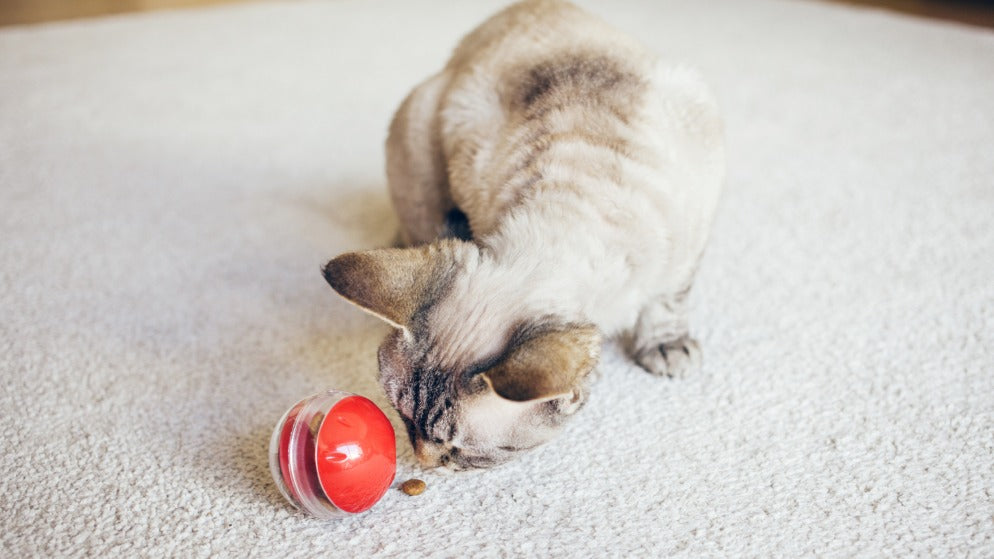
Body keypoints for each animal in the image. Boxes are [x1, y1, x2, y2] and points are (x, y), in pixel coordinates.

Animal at [324, 0, 720, 470]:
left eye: (461, 452)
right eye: (403, 417)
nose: (424, 462)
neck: (573, 209)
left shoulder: (689, 241)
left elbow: (666, 303)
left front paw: (664, 346)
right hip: (418, 128)